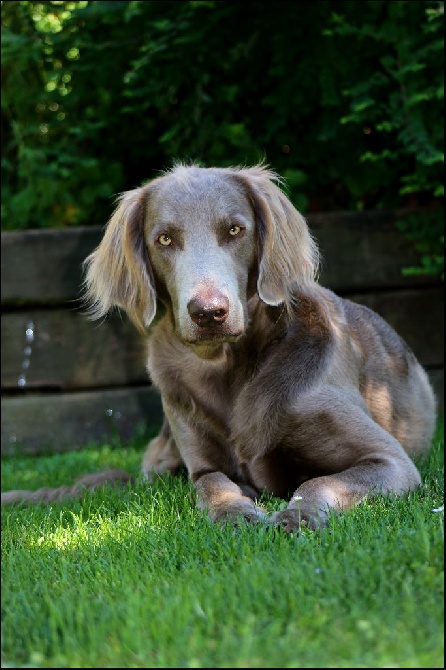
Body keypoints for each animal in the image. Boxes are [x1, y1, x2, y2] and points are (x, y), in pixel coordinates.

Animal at [1, 164, 438, 532]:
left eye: (234, 230)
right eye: (164, 238)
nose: (209, 312)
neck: (227, 369)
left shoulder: (390, 460)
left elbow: (320, 483)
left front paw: (296, 517)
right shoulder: (199, 460)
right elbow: (213, 483)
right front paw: (235, 514)